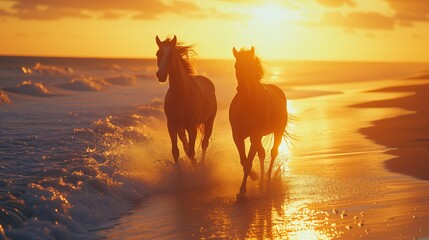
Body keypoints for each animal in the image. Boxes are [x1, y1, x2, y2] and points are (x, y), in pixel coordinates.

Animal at [155, 35, 288, 198]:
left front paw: (243, 189)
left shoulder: (193, 127)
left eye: (171, 55)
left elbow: (246, 161)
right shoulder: (173, 125)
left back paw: (267, 178)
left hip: (273, 131)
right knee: (261, 152)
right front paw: (180, 178)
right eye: (158, 54)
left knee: (272, 152)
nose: (161, 75)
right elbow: (177, 151)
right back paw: (262, 177)